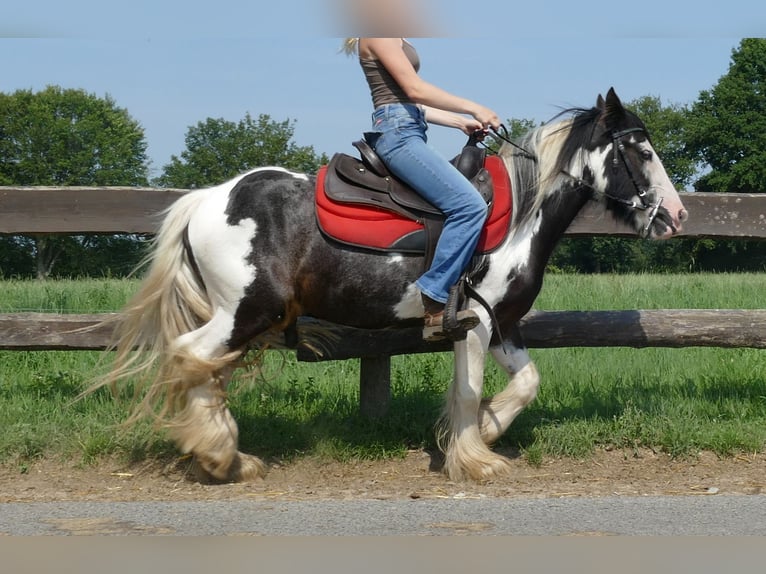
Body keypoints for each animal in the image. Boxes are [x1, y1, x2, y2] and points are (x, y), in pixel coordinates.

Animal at [97, 90, 688, 484]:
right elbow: (468, 392)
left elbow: (526, 383)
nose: (676, 216)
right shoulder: (474, 322)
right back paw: (222, 457)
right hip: (244, 311)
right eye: (642, 152)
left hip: (244, 318)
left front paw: (486, 432)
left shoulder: (502, 323)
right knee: (190, 356)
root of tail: (207, 200)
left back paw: (227, 456)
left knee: (205, 369)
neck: (521, 213)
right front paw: (476, 460)